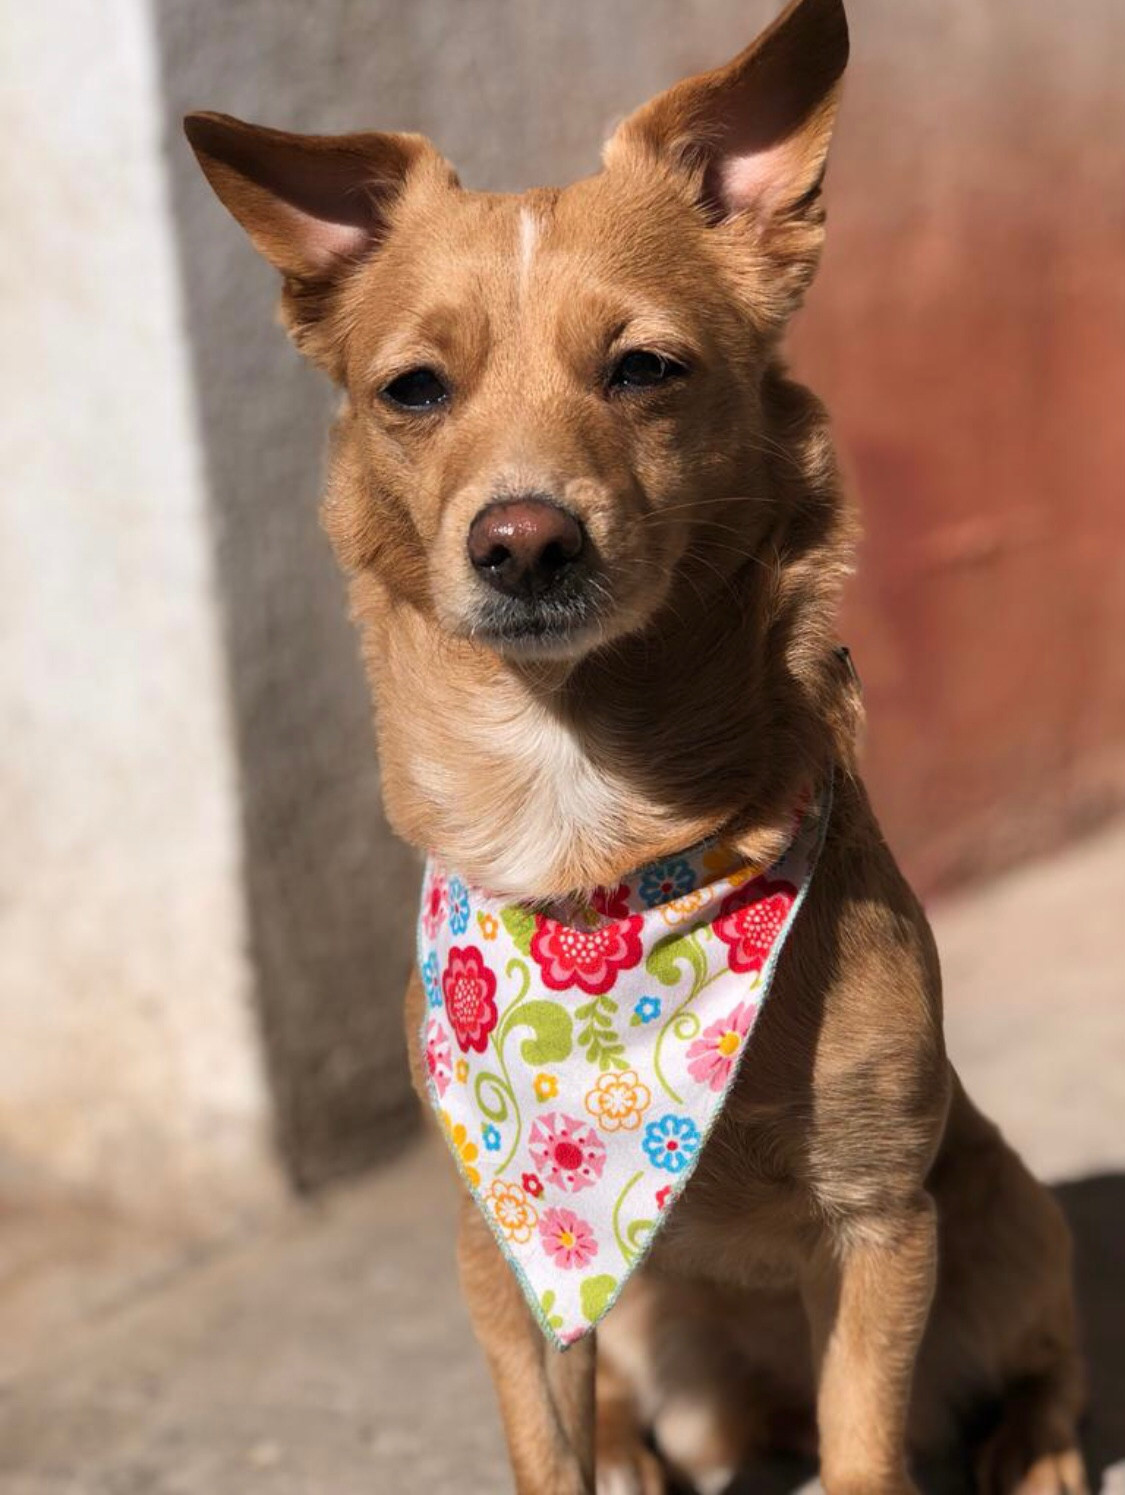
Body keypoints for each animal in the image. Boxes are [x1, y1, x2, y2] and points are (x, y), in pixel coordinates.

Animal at [186, 0, 1087, 1490]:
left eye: (644, 369)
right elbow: (546, 1446)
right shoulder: (505, 1254)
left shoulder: (881, 1216)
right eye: (412, 390)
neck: (587, 822)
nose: (522, 539)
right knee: (638, 1418)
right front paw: (578, 1455)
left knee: (1034, 1359)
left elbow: (866, 1444)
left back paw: (1035, 1447)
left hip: (1007, 1209)